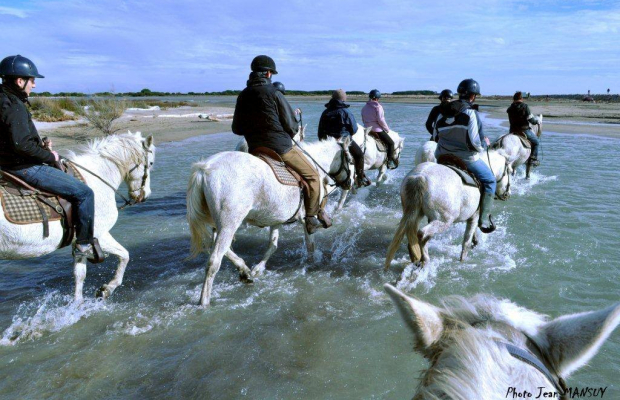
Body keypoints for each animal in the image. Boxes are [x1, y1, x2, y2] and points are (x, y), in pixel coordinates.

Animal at [0, 133, 155, 302]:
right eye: (151, 163)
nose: (145, 196)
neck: (97, 178)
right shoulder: (97, 235)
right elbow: (125, 255)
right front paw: (107, 289)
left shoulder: (81, 242)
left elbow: (79, 275)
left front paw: (78, 304)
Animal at [186, 137, 352, 306]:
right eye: (350, 160)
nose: (349, 183)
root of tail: (205, 168)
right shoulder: (306, 220)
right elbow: (310, 245)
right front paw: (311, 264)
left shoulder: (276, 221)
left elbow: (273, 245)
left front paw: (257, 269)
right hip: (229, 224)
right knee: (214, 261)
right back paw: (204, 302)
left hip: (219, 224)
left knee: (218, 245)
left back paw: (244, 271)